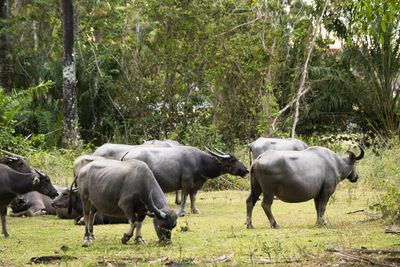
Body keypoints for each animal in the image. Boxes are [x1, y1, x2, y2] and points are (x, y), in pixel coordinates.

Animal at [120, 146, 248, 217]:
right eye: (232, 160)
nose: (246, 170)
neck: (200, 162)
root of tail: (127, 154)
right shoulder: (186, 183)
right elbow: (184, 197)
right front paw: (183, 212)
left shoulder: (195, 186)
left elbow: (193, 197)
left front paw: (195, 210)